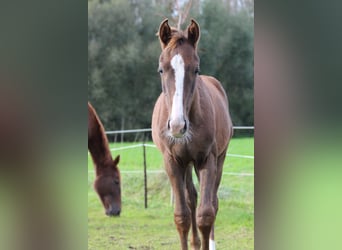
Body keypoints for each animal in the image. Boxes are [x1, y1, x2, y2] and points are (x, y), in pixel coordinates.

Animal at [152, 18, 234, 249]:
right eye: (161, 70)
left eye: (195, 69)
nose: (177, 126)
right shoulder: (172, 162)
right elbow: (182, 215)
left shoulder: (207, 160)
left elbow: (205, 214)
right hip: (187, 164)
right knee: (192, 198)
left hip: (218, 159)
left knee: (213, 202)